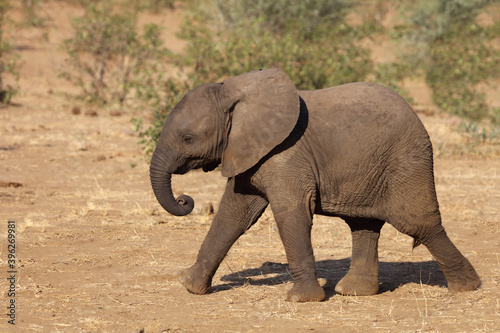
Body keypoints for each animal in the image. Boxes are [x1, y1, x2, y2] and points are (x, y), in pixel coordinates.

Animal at [149, 67, 480, 300]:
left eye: (188, 139)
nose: (185, 200)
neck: (233, 91)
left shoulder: (286, 154)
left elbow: (290, 213)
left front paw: (301, 299)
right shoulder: (249, 151)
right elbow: (233, 215)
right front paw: (189, 285)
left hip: (406, 161)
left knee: (419, 224)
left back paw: (467, 287)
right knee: (364, 225)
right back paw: (354, 292)